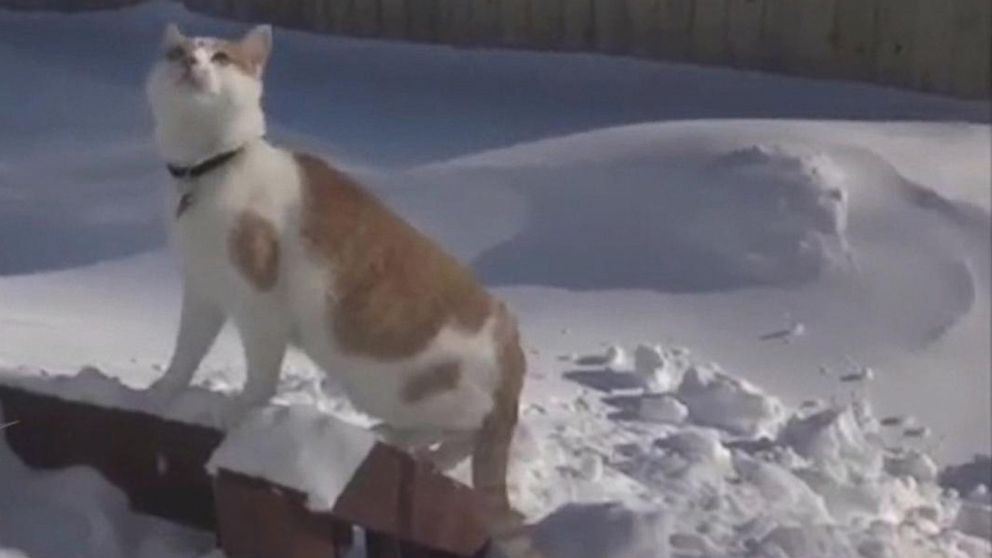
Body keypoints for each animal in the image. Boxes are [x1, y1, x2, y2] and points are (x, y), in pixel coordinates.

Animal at [144, 21, 532, 532]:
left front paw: (239, 410)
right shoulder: (203, 291)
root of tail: (512, 343)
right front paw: (162, 392)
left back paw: (421, 447)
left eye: (221, 57)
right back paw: (403, 440)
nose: (191, 62)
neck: (206, 170)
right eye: (177, 52)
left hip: (407, 386)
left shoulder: (259, 305)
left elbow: (260, 378)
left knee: (472, 430)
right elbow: (185, 353)